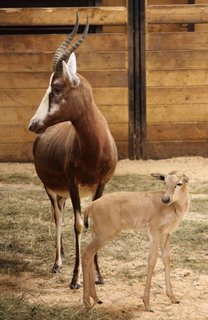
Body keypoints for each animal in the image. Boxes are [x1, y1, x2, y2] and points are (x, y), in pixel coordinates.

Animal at [82, 171, 189, 312]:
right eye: (165, 182)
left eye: (179, 183)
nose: (165, 199)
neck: (173, 207)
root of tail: (91, 205)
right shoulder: (155, 233)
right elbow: (152, 259)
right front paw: (147, 304)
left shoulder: (165, 234)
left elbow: (167, 258)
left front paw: (173, 298)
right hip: (103, 235)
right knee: (86, 254)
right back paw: (86, 302)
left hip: (98, 236)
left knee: (90, 255)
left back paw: (96, 299)